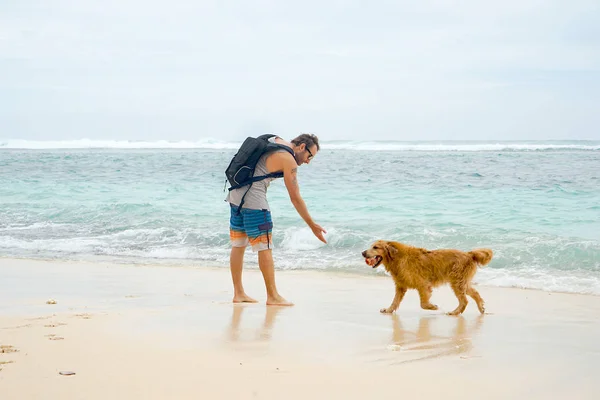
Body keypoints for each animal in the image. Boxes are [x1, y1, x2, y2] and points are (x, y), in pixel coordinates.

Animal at [360, 241, 492, 316]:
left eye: (375, 247)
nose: (362, 253)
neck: (397, 258)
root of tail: (469, 254)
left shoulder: (423, 284)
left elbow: (423, 304)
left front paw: (433, 307)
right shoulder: (401, 286)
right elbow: (395, 301)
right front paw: (388, 310)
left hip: (457, 282)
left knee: (464, 300)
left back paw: (454, 312)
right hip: (461, 282)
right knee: (475, 293)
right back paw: (481, 308)